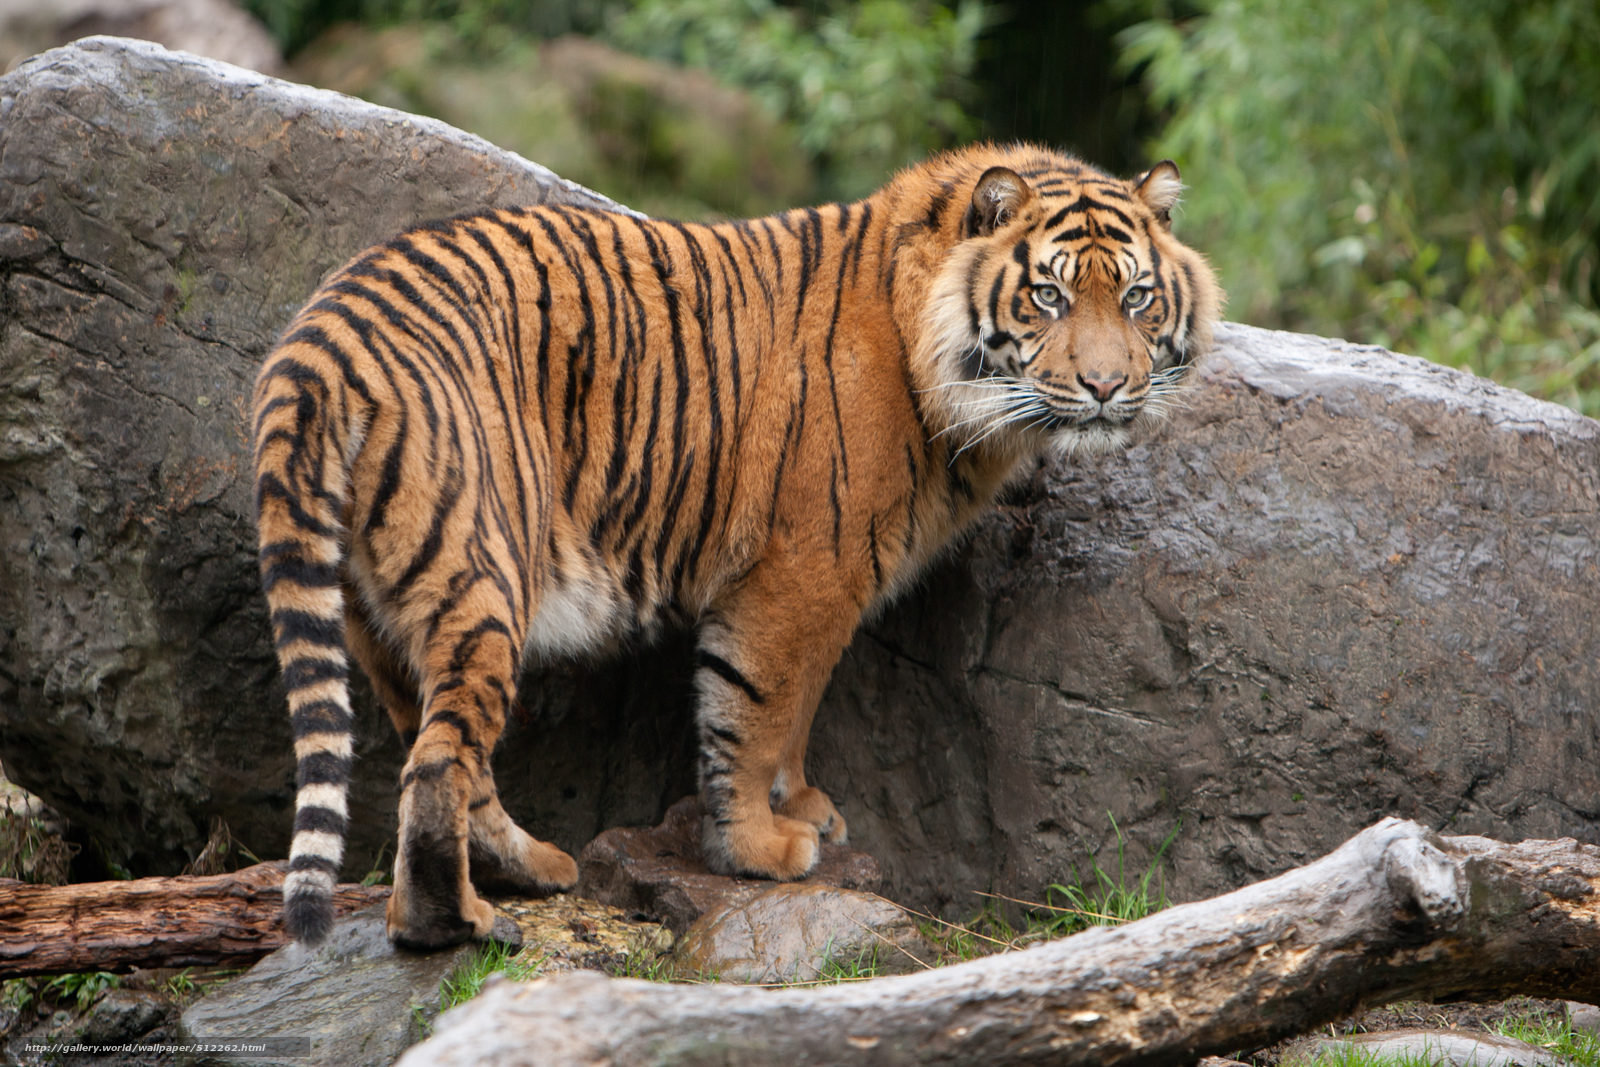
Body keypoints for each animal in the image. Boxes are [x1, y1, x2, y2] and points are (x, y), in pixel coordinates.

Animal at [251, 142, 1222, 949]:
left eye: (1136, 297)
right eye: (1047, 296)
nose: (1106, 386)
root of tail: (317, 345)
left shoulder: (832, 584)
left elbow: (797, 711)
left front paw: (804, 807)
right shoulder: (801, 572)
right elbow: (754, 711)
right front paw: (759, 846)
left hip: (379, 613)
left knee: (444, 748)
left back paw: (530, 867)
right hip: (483, 573)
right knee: (436, 764)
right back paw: (453, 922)